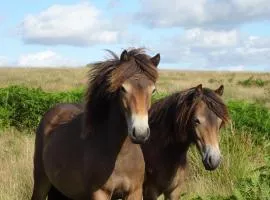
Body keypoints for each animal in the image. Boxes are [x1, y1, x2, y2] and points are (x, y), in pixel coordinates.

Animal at [30, 48, 159, 200]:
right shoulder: (100, 193)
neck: (120, 155)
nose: (140, 133)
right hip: (41, 181)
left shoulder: (135, 192)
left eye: (153, 90)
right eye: (123, 88)